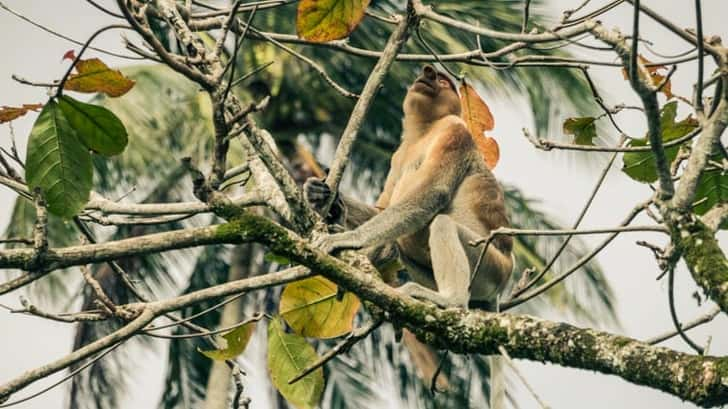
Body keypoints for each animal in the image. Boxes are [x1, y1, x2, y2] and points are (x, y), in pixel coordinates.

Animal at [304, 63, 516, 306]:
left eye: (442, 81)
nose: (427, 72)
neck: (424, 130)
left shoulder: (454, 131)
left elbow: (432, 192)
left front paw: (346, 238)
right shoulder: (398, 154)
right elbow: (383, 209)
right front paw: (320, 195)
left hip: (491, 264)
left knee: (442, 224)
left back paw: (450, 300)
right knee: (399, 242)